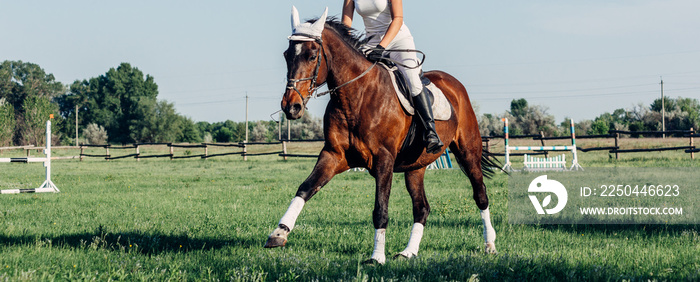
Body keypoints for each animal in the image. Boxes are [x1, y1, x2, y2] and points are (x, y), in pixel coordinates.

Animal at [266, 7, 500, 264]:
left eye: (311, 55)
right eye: (287, 55)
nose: (291, 106)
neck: (356, 96)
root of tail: (453, 83)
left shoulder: (383, 160)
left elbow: (380, 209)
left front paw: (377, 257)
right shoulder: (334, 155)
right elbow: (305, 189)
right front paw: (279, 233)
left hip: (468, 151)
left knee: (480, 195)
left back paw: (490, 245)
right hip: (416, 166)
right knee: (421, 207)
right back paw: (409, 252)